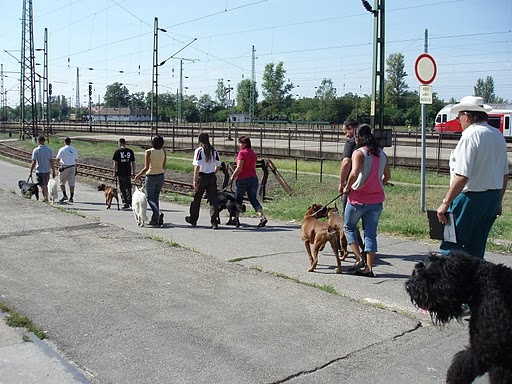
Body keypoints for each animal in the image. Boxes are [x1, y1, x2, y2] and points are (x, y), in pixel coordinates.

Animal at [404, 252, 512, 384]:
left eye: (431, 275)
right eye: (418, 269)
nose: (408, 287)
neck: (480, 285)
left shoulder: (486, 349)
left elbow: (462, 365)